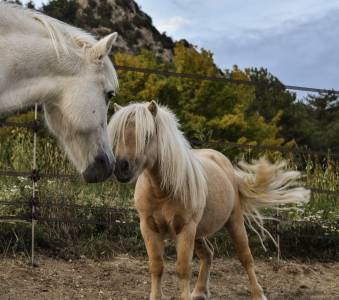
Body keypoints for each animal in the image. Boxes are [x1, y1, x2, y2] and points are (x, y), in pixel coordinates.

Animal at [109, 101, 310, 300]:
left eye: (147, 135)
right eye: (117, 134)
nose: (121, 167)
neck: (162, 191)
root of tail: (227, 166)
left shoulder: (186, 229)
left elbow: (183, 269)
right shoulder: (149, 228)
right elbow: (156, 266)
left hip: (233, 222)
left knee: (245, 257)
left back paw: (258, 294)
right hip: (199, 233)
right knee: (208, 254)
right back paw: (199, 291)